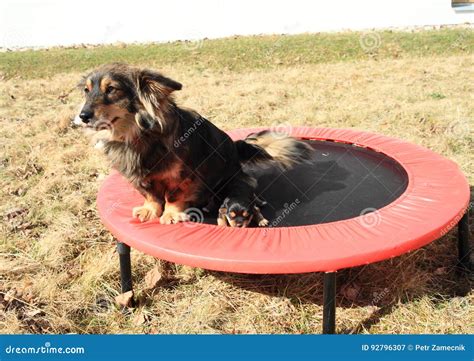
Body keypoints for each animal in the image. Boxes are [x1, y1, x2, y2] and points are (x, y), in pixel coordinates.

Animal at [77, 63, 314, 224]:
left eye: (111, 89)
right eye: (86, 91)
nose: (82, 116)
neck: (137, 135)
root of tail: (235, 146)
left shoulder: (182, 177)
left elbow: (172, 196)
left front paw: (171, 214)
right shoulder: (140, 179)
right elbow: (151, 195)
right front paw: (150, 210)